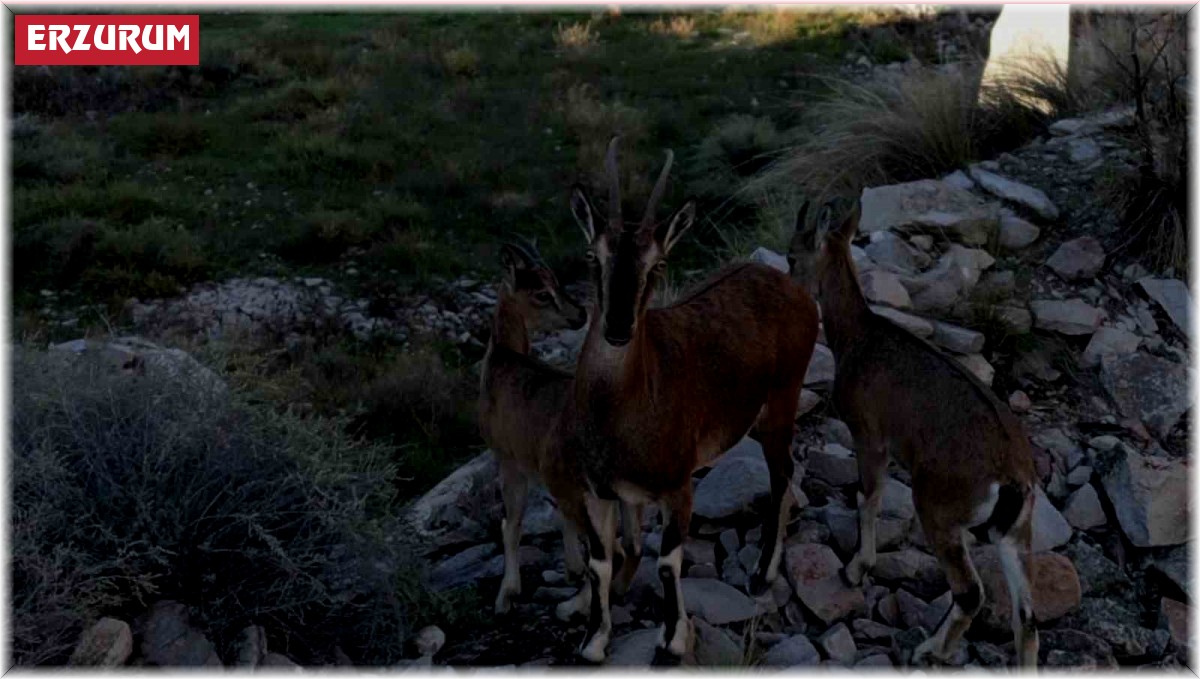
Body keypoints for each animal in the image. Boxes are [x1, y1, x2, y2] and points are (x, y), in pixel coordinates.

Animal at [477, 239, 648, 623]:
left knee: (608, 550)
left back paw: (573, 607)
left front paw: (506, 595)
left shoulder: (509, 459)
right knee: (631, 546)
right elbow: (558, 518)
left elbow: (512, 524)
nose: (580, 314)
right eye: (543, 292)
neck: (503, 359)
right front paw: (570, 568)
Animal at [566, 138, 820, 667]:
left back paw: (763, 573)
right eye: (592, 257)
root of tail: (791, 284)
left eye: (658, 264)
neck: (621, 412)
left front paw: (672, 641)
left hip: (783, 398)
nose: (617, 327)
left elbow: (667, 562)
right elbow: (600, 562)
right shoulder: (598, 491)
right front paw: (594, 641)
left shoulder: (677, 486)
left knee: (783, 473)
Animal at [787, 201, 1041, 671]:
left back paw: (930, 650)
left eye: (793, 255)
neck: (859, 337)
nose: (789, 287)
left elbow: (868, 497)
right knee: (1026, 617)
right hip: (1016, 532)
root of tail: (1014, 480)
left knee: (970, 593)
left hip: (937, 505)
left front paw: (856, 569)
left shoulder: (869, 433)